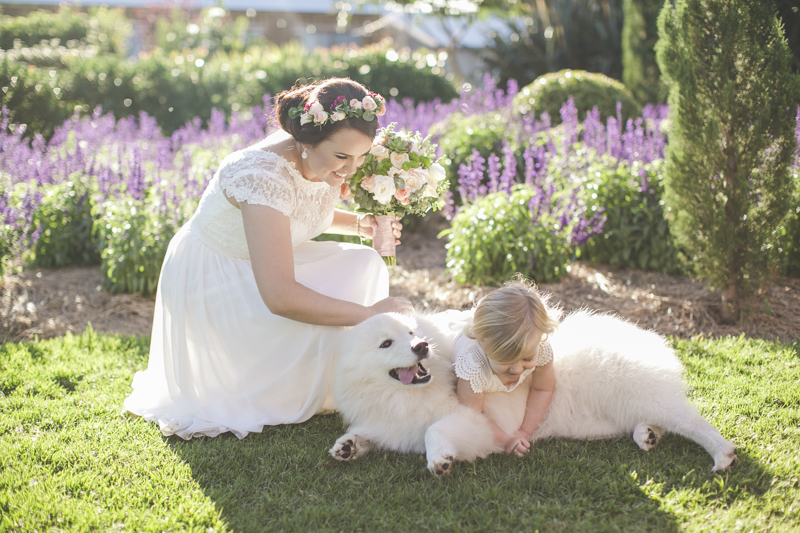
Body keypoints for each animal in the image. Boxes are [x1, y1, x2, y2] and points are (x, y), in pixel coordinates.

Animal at [332, 310, 736, 476]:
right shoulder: (392, 425)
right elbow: (368, 434)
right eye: (386, 343)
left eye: (412, 332)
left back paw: (722, 454)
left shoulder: (473, 423)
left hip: (641, 393)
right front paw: (348, 446)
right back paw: (647, 435)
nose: (420, 347)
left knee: (693, 422)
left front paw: (440, 460)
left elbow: (435, 431)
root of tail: (646, 335)